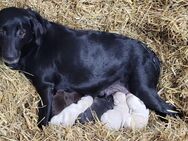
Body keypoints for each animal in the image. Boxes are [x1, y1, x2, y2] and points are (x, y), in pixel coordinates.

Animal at [0, 6, 179, 128]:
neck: (35, 45)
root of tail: (151, 54)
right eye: (2, 31)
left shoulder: (46, 86)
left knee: (174, 111)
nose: (9, 58)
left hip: (144, 88)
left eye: (22, 32)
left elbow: (44, 116)